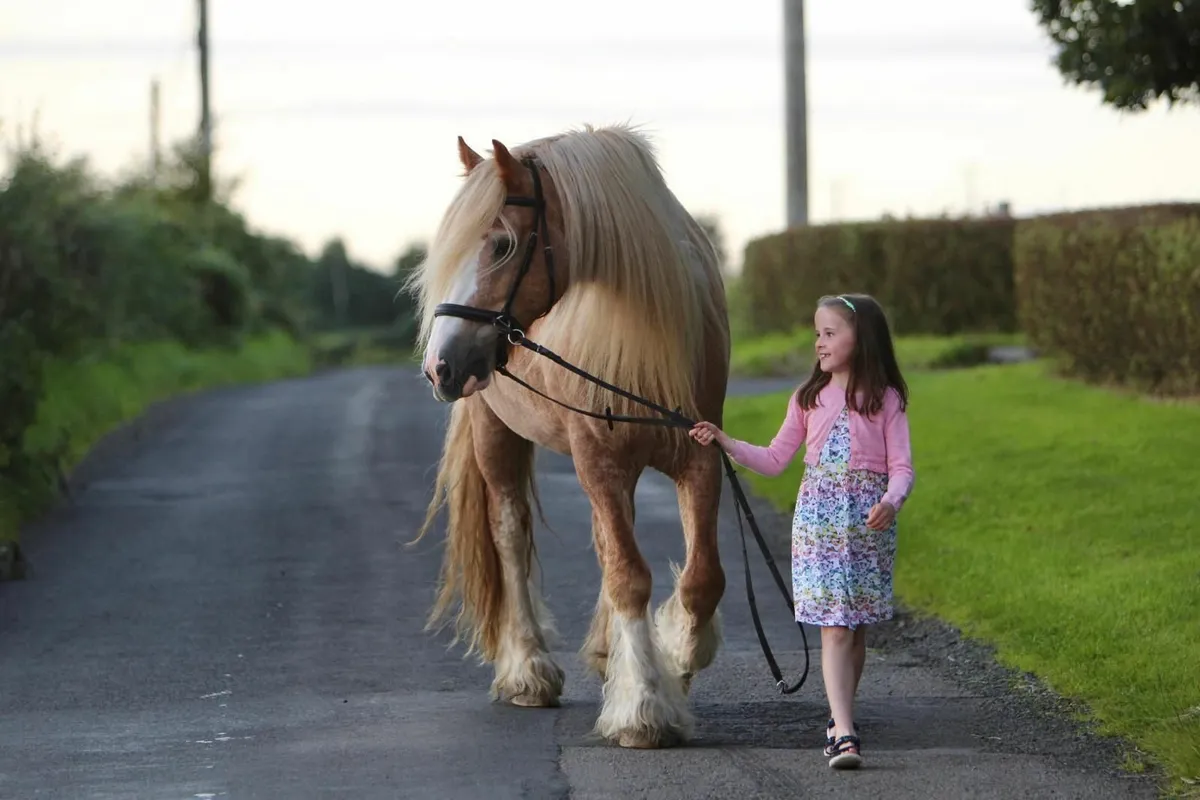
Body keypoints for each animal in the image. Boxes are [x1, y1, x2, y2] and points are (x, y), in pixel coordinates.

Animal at [408, 124, 731, 749]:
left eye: (502, 245)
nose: (440, 366)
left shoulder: (699, 456)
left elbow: (702, 578)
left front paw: (676, 655)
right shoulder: (596, 457)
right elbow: (628, 574)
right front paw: (644, 708)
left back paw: (609, 654)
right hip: (496, 433)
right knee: (511, 533)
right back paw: (529, 672)